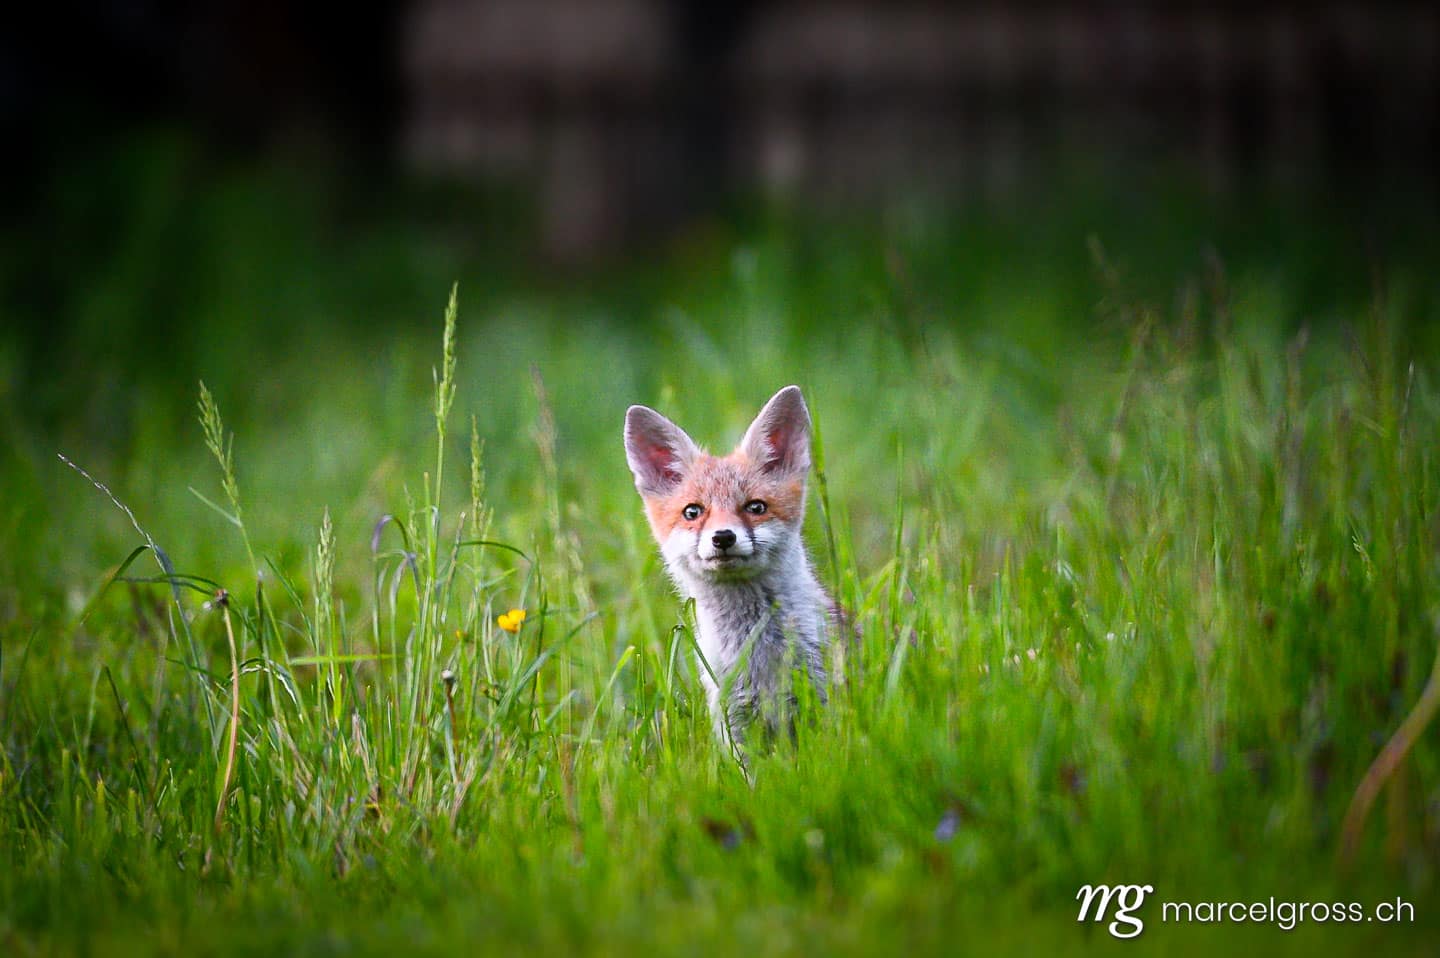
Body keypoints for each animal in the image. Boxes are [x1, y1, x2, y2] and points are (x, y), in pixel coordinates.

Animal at [624, 385, 832, 755]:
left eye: (756, 507)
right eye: (693, 512)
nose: (723, 537)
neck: (755, 649)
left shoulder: (821, 699)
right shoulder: (734, 717)